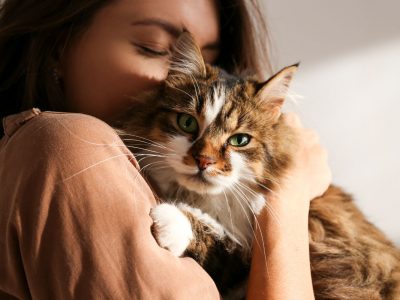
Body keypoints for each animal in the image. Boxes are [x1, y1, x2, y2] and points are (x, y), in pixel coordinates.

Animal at [113, 31, 400, 298]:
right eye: (187, 123)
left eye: (240, 140)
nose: (204, 160)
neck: (208, 201)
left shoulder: (247, 257)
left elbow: (219, 240)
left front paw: (171, 220)